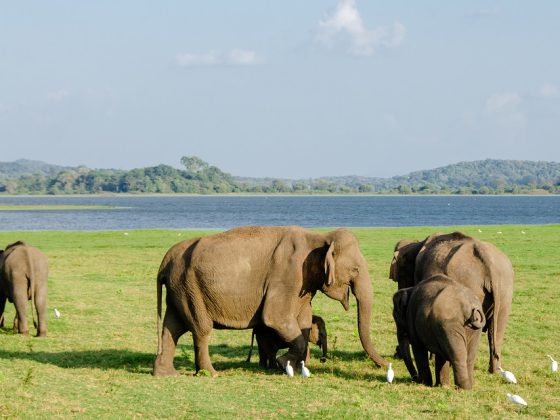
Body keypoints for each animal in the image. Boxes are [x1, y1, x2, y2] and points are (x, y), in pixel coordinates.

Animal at [154, 226, 390, 378]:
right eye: (356, 269)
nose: (386, 365)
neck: (317, 237)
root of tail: (165, 261)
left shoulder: (303, 284)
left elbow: (303, 320)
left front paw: (295, 368)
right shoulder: (286, 275)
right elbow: (275, 317)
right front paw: (284, 364)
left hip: (180, 289)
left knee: (172, 328)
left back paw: (166, 374)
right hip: (190, 288)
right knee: (200, 328)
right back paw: (210, 374)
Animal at [390, 231, 512, 372]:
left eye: (400, 276)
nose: (396, 353)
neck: (417, 243)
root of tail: (488, 262)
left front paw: (433, 360)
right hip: (505, 289)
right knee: (496, 331)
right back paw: (494, 371)